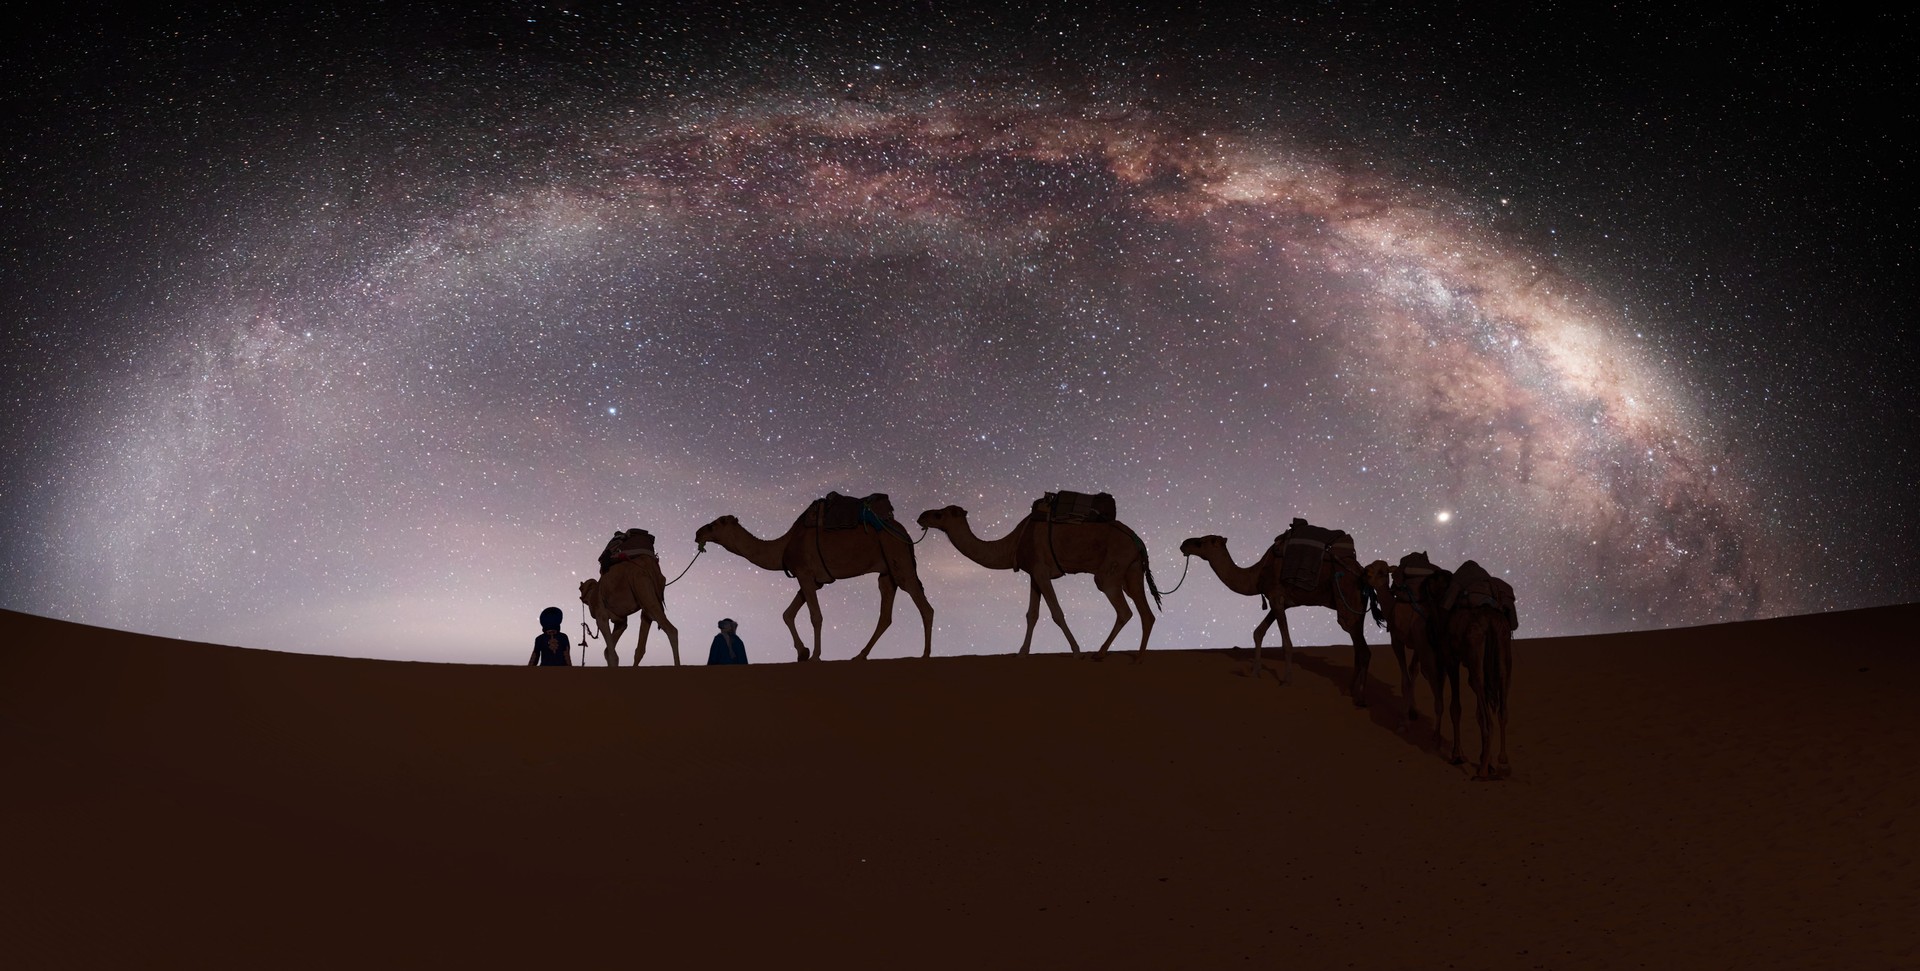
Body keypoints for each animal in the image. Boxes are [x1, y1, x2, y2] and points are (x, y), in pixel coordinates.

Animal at [695, 506, 933, 660]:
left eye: (716, 524)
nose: (698, 532)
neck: (784, 546)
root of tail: (905, 533)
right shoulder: (811, 579)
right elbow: (787, 614)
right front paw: (802, 652)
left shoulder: (804, 573)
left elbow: (815, 616)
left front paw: (815, 655)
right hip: (886, 572)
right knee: (885, 614)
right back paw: (860, 655)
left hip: (897, 557)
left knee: (923, 604)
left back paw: (925, 654)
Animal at [913, 506, 1152, 660]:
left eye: (938, 514)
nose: (921, 517)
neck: (1013, 542)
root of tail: (1138, 540)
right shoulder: (1033, 575)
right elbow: (1032, 615)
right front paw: (1022, 652)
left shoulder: (1041, 570)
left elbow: (1057, 613)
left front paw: (1076, 651)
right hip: (1131, 570)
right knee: (1146, 612)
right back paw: (1138, 657)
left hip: (1111, 568)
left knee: (1123, 609)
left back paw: (1100, 654)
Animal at [1167, 533, 1382, 702]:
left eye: (1200, 542)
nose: (1184, 544)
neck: (1257, 574)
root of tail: (1361, 572)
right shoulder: (1277, 601)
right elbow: (1258, 632)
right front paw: (1255, 673)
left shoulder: (1277, 599)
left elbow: (1286, 643)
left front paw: (1286, 681)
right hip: (1357, 607)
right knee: (1359, 648)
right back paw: (1348, 691)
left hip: (1347, 600)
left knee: (1362, 649)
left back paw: (1360, 697)